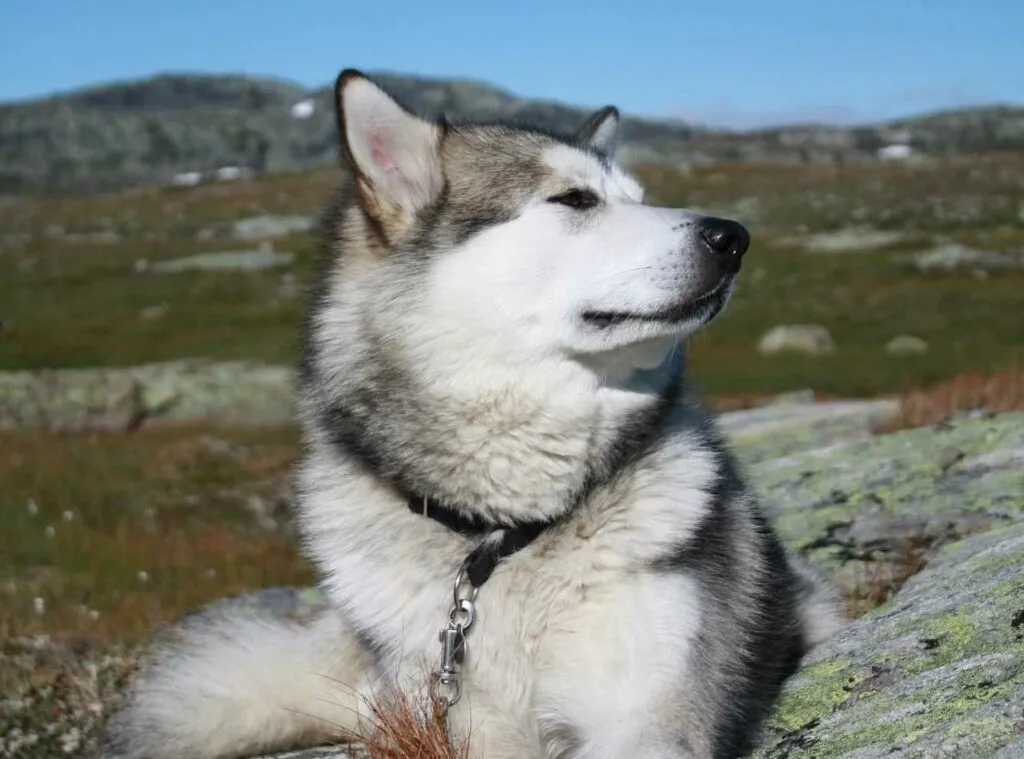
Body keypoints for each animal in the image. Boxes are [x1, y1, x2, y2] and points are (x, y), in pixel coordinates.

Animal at [101, 69, 839, 757]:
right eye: (576, 199)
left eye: (638, 198)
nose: (733, 236)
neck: (499, 537)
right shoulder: (452, 719)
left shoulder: (647, 714)